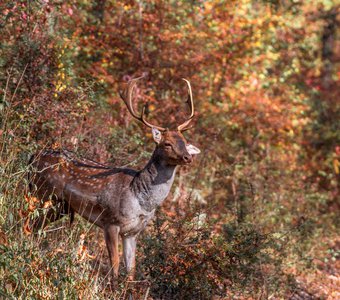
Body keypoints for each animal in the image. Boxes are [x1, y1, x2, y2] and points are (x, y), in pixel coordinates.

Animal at [29, 77, 201, 278]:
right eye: (167, 143)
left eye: (184, 142)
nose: (187, 157)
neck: (141, 200)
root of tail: (33, 156)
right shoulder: (110, 221)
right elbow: (115, 267)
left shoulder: (133, 232)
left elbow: (131, 270)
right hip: (41, 192)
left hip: (61, 206)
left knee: (35, 226)